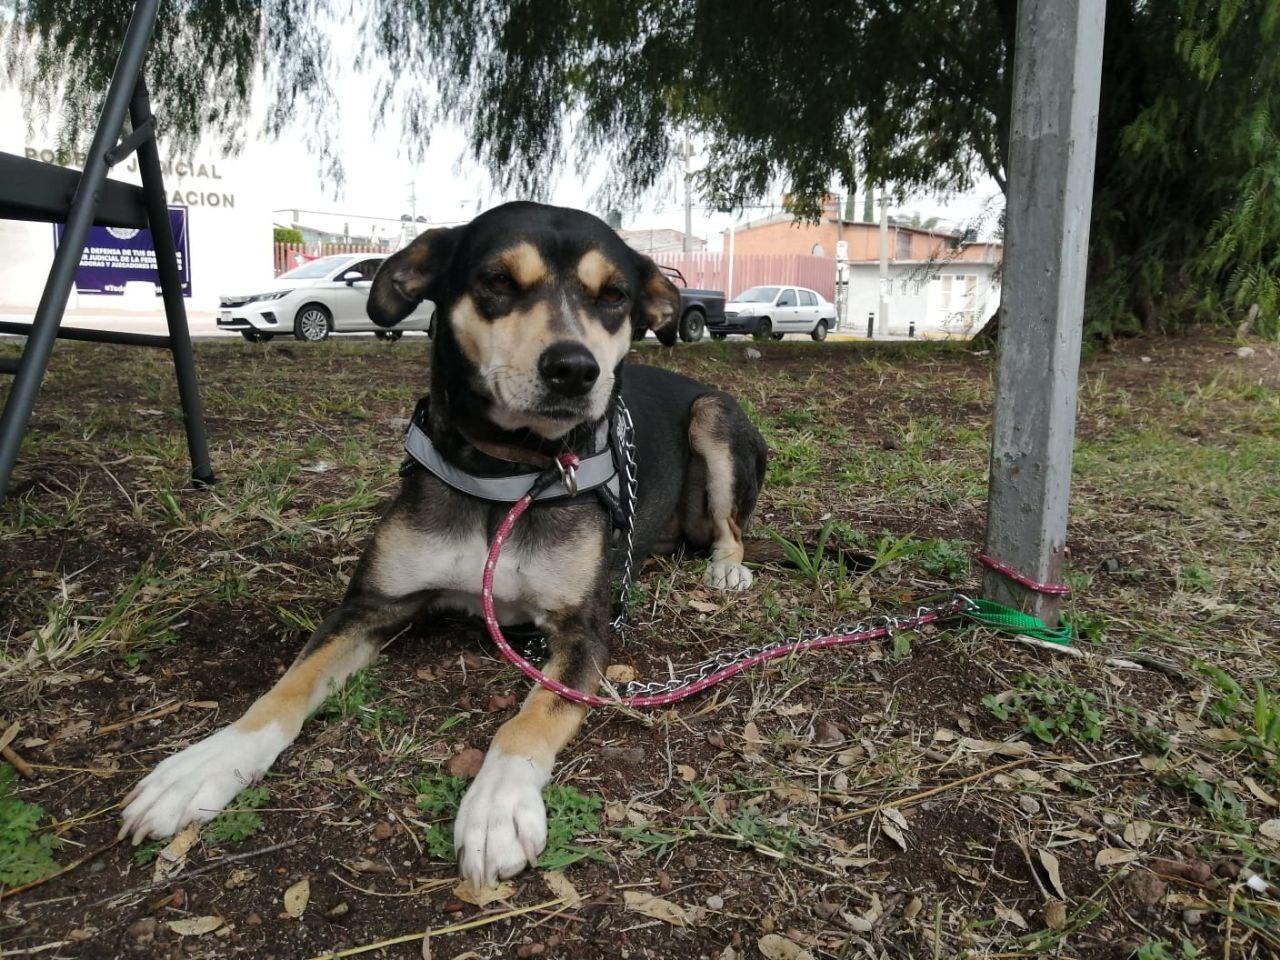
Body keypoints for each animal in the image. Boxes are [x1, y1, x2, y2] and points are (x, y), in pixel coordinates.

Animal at [120, 200, 762, 885]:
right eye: (498, 281)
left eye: (614, 295)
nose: (573, 369)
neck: (506, 471)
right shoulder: (370, 606)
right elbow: (288, 685)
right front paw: (204, 766)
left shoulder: (584, 630)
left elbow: (534, 716)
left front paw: (499, 802)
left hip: (714, 415)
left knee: (731, 528)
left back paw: (726, 569)